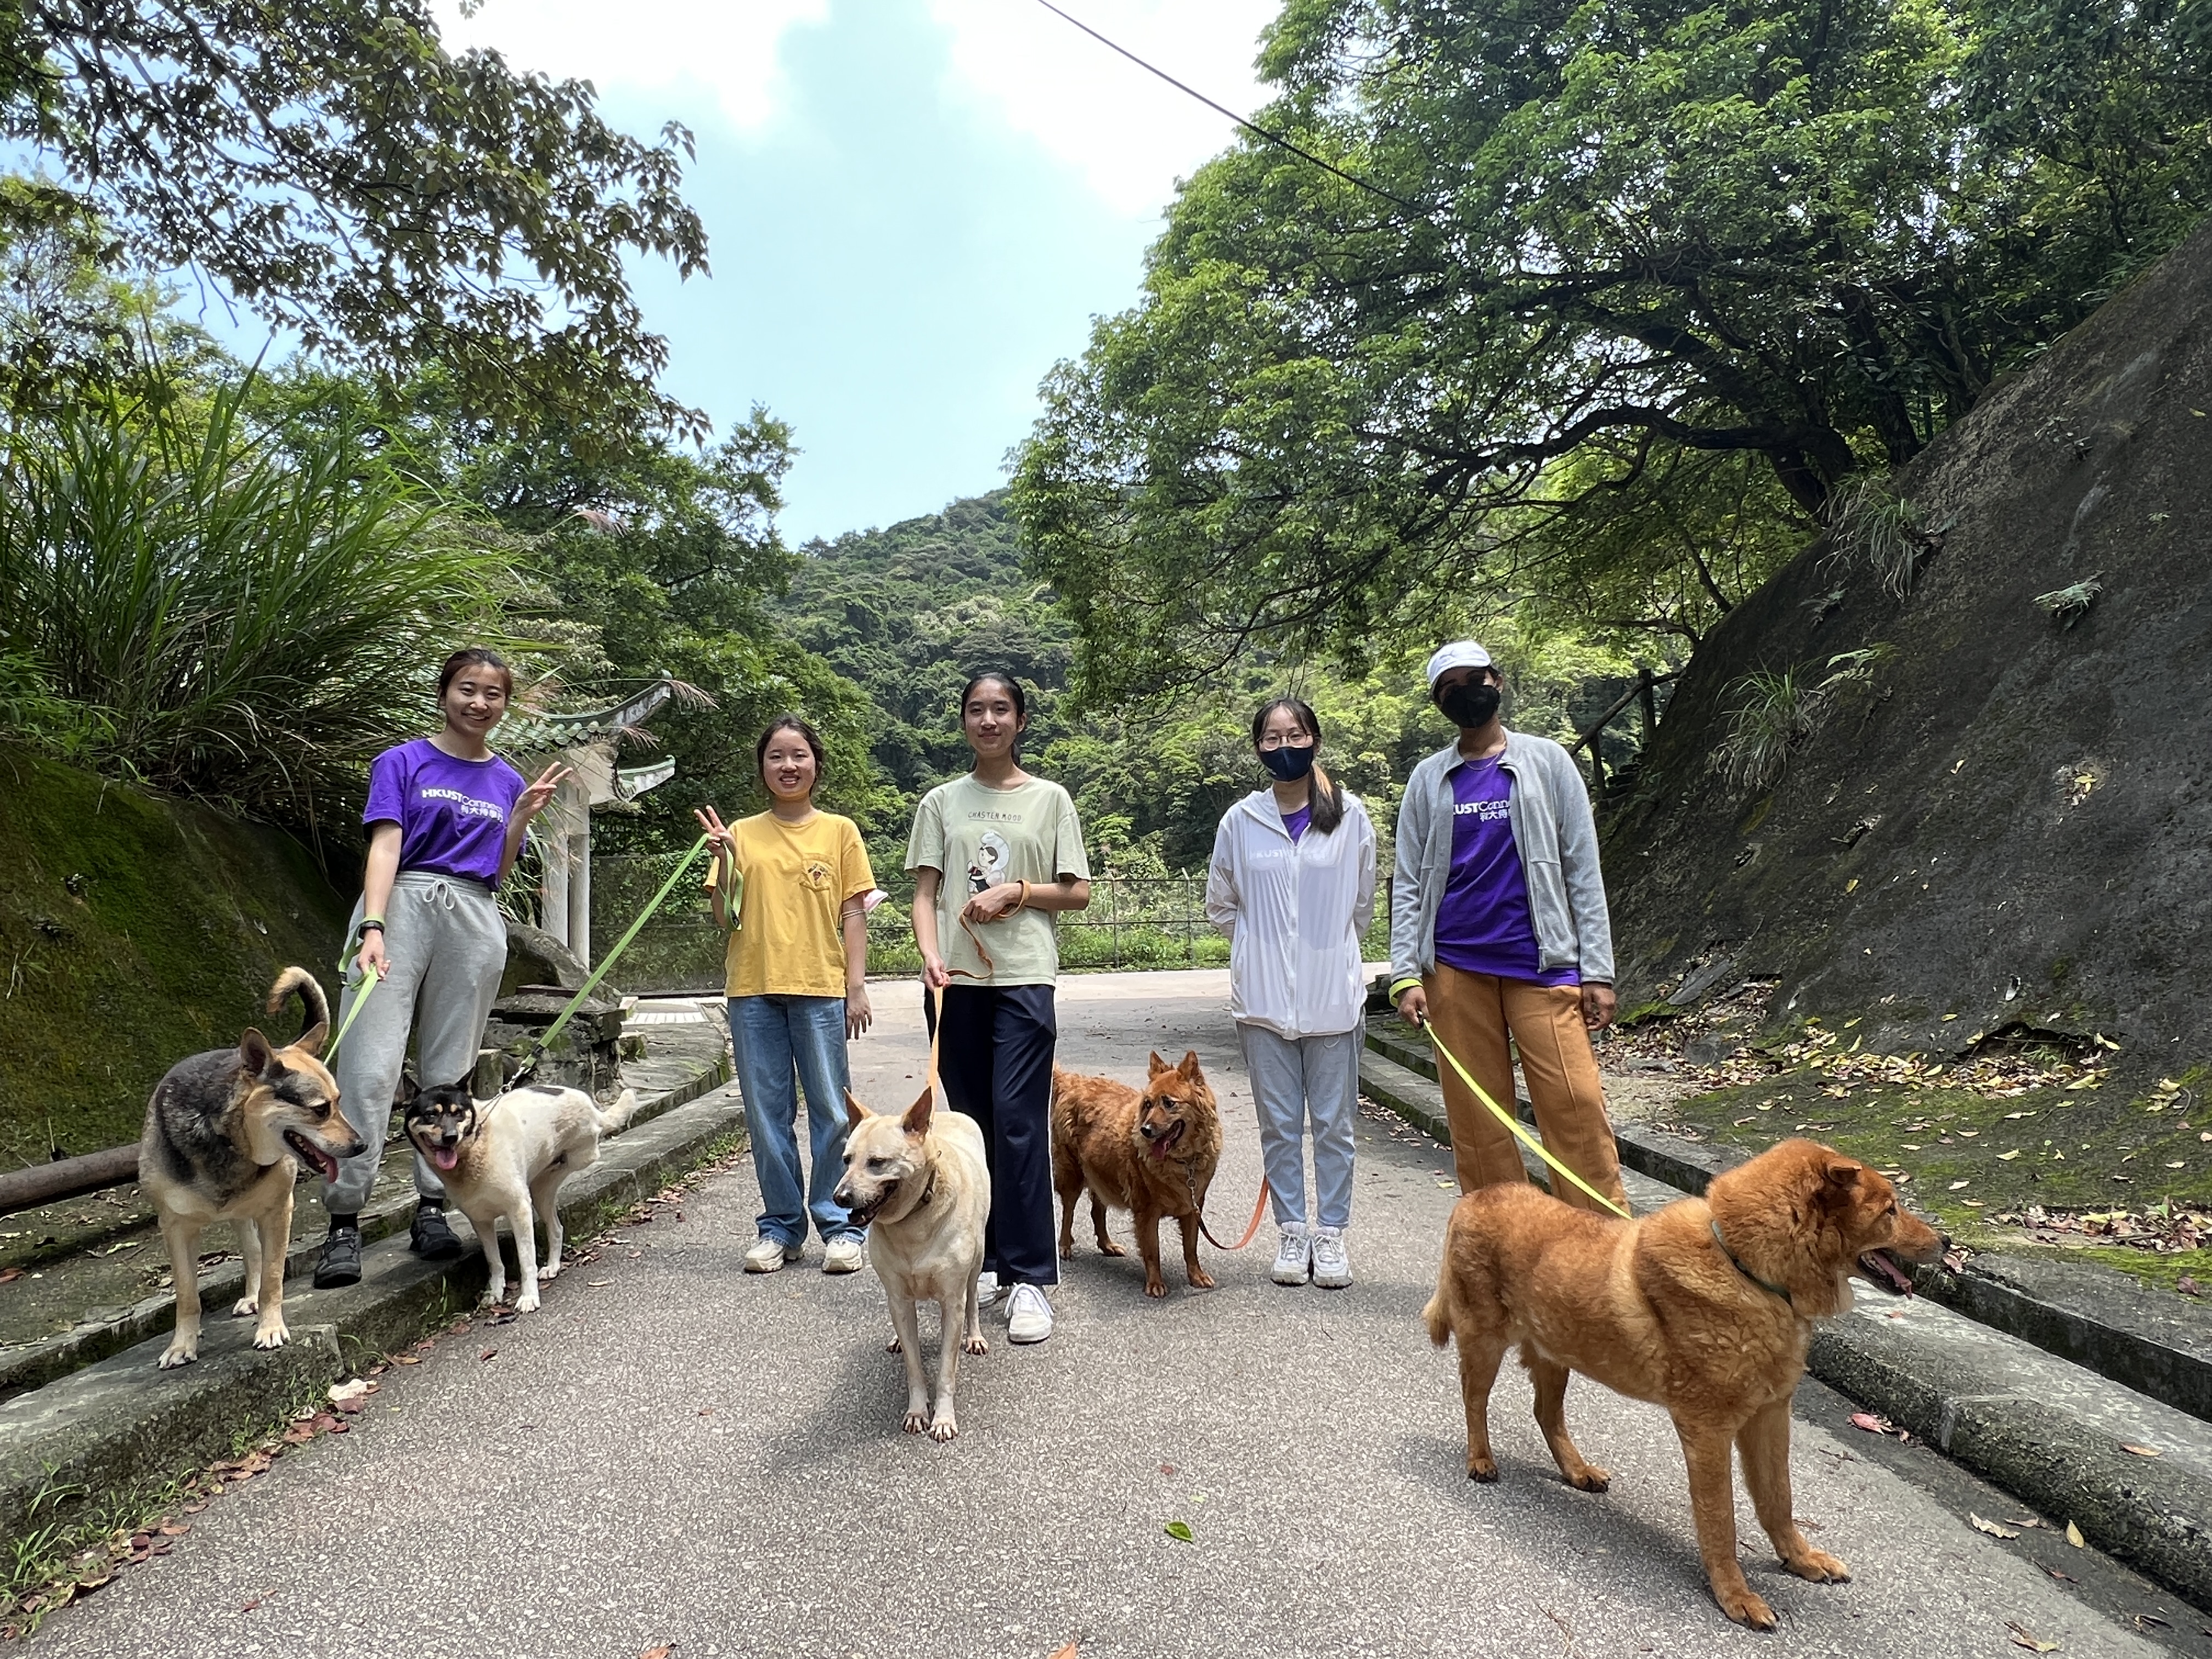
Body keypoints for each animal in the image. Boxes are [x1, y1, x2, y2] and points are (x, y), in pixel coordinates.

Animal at [137, 969, 360, 1371]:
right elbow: (187, 1294)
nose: (361, 1145)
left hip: (254, 1210)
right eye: (321, 1110)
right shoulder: (175, 1227)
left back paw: (255, 1299)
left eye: (339, 1103)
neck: (231, 1142)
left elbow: (273, 1275)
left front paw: (270, 1328)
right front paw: (182, 1344)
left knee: (256, 1254)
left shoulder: (278, 1211)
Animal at [832, 1092, 991, 1442]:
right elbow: (914, 1365)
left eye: (877, 1162)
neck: (912, 1221)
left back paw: (974, 1335)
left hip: (978, 1259)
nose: (839, 1197)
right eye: (846, 1160)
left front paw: (943, 1417)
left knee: (973, 1295)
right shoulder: (899, 1299)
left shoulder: (951, 1301)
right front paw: (918, 1410)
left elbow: (946, 1369)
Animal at [1053, 1053, 1229, 1300]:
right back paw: (1065, 1246)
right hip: (1072, 1175)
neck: (1183, 1161)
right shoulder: (1147, 1212)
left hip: (1102, 1174)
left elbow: (1191, 1247)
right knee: (1068, 1213)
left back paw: (1107, 1245)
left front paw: (1196, 1276)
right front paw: (1155, 1283)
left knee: (1097, 1211)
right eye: (1148, 1104)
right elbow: (1152, 1251)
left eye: (1169, 1103)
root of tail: (1072, 1081)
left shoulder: (1193, 1207)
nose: (1146, 1130)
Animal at [1424, 1141, 1946, 1628]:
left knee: (1546, 1413)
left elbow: (1778, 1501)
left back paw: (1577, 1470)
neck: (1747, 1270)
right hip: (1485, 1343)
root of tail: (1477, 1196)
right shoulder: (1709, 1431)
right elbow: (1721, 1521)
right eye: (1890, 1210)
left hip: (1557, 1350)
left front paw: (1799, 1560)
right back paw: (1480, 1459)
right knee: (1474, 1400)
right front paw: (1735, 1595)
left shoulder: (1770, 1417)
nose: (1946, 1243)